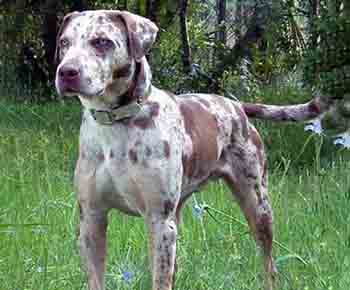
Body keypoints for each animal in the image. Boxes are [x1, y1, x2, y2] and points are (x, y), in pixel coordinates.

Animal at [55, 9, 330, 290]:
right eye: (64, 43)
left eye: (102, 41)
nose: (66, 72)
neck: (115, 125)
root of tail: (237, 106)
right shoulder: (92, 219)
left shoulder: (159, 221)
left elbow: (160, 280)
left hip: (257, 205)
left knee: (269, 263)